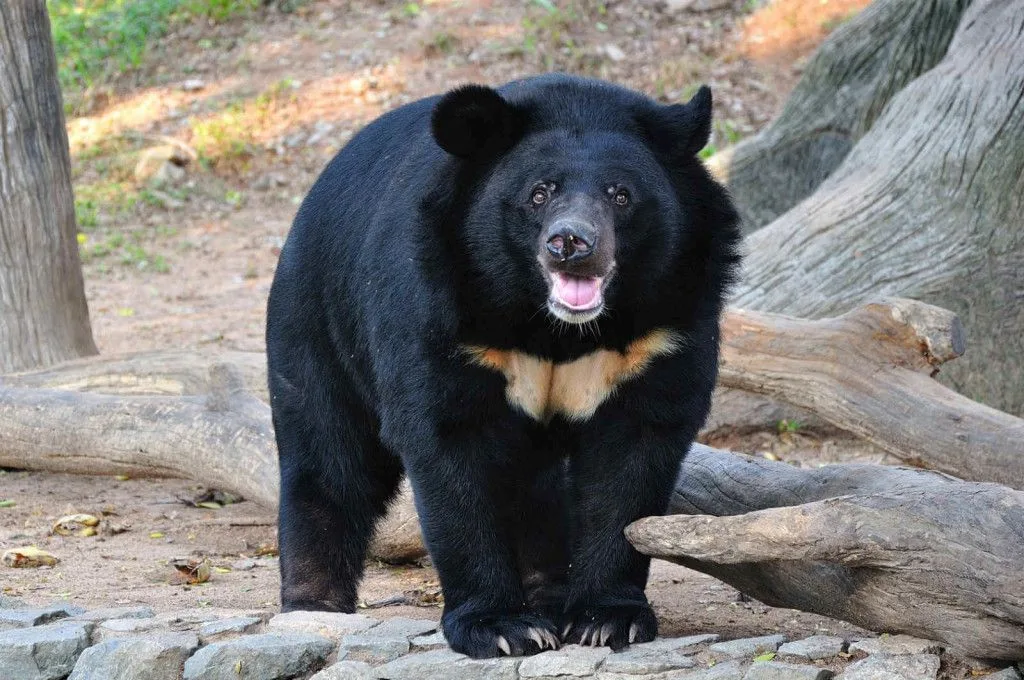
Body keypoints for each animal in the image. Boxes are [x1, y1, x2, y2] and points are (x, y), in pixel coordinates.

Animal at [265, 73, 741, 659]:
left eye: (621, 194)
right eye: (539, 193)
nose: (571, 243)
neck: (556, 328)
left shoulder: (663, 329)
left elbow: (632, 460)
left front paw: (606, 619)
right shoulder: (441, 310)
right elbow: (449, 446)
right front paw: (500, 627)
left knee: (538, 490)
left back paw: (549, 596)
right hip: (316, 319)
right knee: (329, 457)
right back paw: (314, 605)